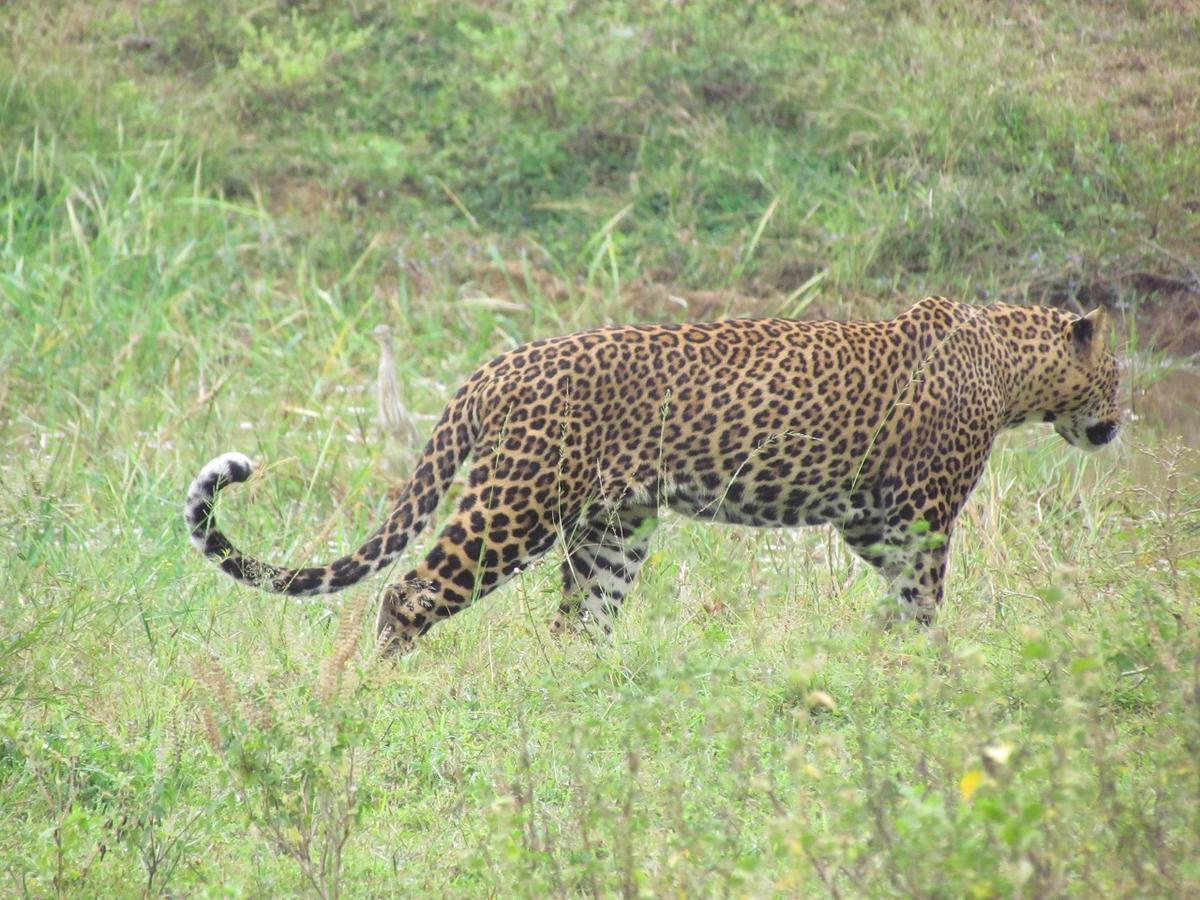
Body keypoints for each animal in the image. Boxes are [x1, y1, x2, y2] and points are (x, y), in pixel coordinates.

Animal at [182, 297, 1118, 657]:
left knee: (578, 623)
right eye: (1117, 374)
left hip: (612, 529)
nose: (1119, 422)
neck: (1008, 362)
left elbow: (903, 594)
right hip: (516, 503)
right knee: (409, 592)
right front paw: (925, 665)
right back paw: (376, 693)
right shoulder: (921, 510)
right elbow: (926, 594)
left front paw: (887, 651)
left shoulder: (868, 517)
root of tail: (498, 367)